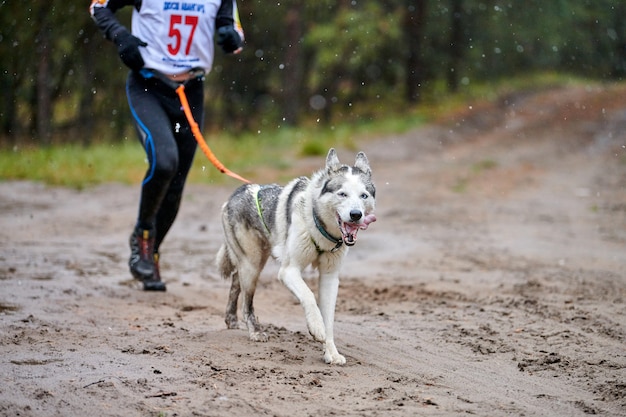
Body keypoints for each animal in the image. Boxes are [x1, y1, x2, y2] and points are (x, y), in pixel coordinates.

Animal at [214, 148, 376, 362]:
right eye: (342, 194)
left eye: (363, 195)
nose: (356, 214)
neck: (318, 226)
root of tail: (237, 193)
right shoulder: (289, 271)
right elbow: (308, 296)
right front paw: (316, 328)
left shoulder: (330, 277)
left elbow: (329, 319)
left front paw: (331, 353)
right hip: (252, 266)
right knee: (246, 303)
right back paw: (255, 331)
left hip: (253, 263)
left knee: (234, 282)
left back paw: (231, 319)